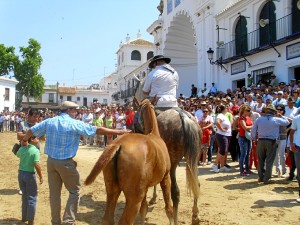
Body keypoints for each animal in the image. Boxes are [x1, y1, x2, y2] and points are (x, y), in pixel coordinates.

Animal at [135, 78, 203, 224]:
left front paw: (153, 197)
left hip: (173, 161)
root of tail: (185, 118)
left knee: (175, 192)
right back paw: (195, 216)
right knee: (197, 184)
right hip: (193, 158)